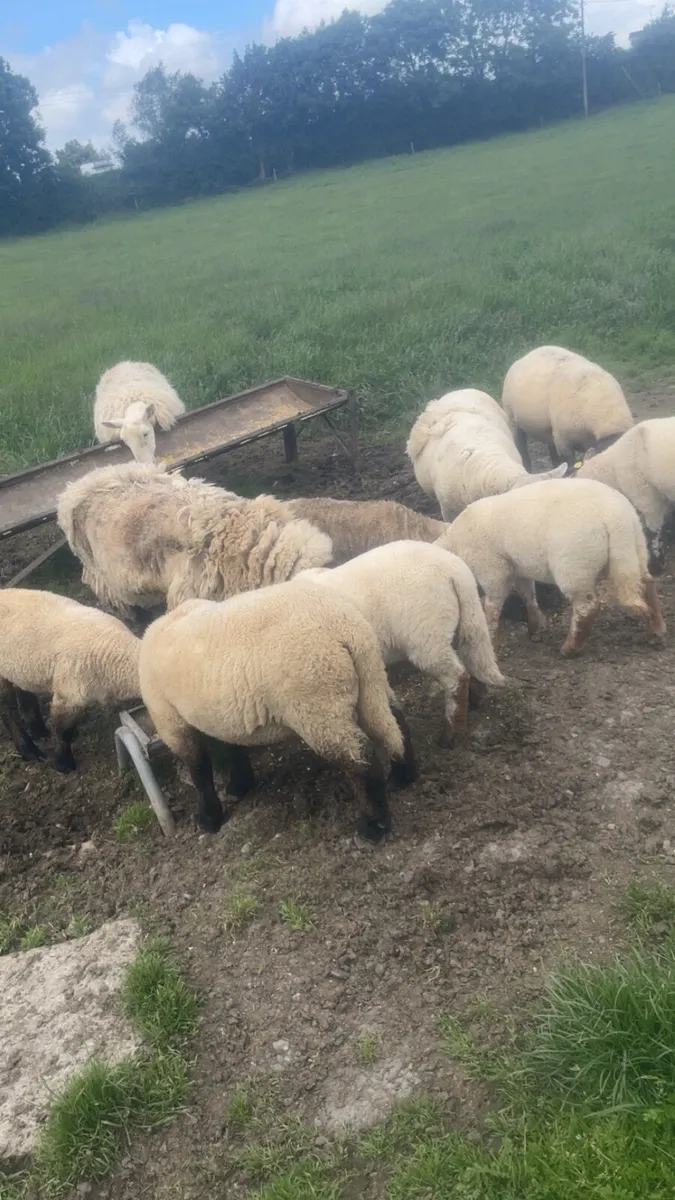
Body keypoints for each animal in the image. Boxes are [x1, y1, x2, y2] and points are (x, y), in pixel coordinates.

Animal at [0, 588, 140, 772]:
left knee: (24, 691)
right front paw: (63, 764)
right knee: (7, 710)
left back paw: (38, 731)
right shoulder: (68, 695)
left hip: (20, 667)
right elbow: (63, 732)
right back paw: (29, 750)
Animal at [139, 579, 418, 841]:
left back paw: (373, 826)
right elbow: (232, 747)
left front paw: (209, 818)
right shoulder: (222, 711)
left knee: (359, 757)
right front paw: (239, 785)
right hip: (370, 678)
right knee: (393, 724)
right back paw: (402, 777)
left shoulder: (170, 718)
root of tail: (345, 628)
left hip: (318, 701)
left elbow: (199, 770)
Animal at [298, 540, 505, 742]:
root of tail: (454, 569)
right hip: (462, 622)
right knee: (473, 657)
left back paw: (451, 735)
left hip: (427, 636)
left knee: (456, 676)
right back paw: (475, 700)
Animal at [436, 478, 666, 656]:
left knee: (587, 607)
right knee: (647, 584)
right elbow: (527, 594)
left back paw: (570, 648)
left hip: (574, 564)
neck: (454, 545)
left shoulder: (493, 571)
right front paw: (536, 627)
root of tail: (617, 518)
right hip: (634, 547)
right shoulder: (519, 567)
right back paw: (656, 630)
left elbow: (493, 607)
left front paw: (492, 640)